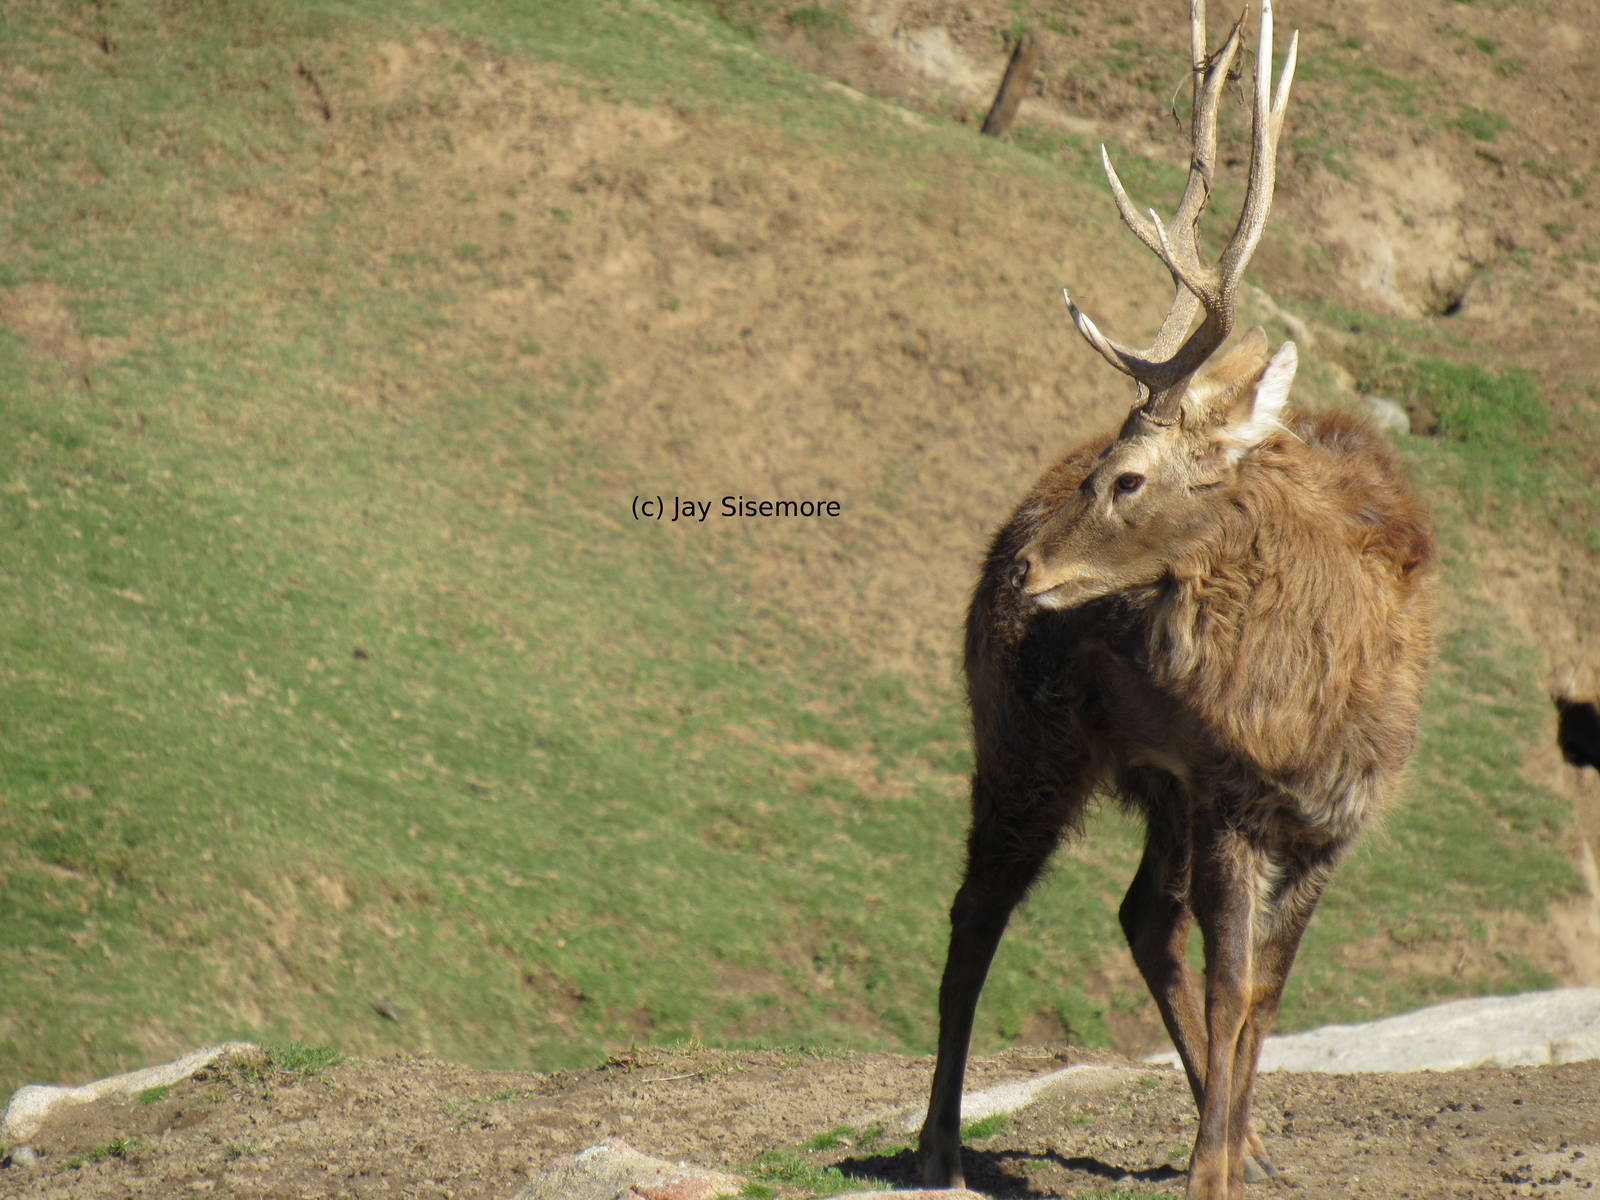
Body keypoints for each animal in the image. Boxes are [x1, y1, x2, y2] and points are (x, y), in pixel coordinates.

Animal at [916, 2, 1436, 1197]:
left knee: (1140, 913)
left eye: (1129, 479)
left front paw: (1234, 1149)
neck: (1300, 703)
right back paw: (937, 1143)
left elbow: (1267, 994)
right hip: (1028, 737)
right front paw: (1210, 1170)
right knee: (978, 907)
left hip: (1156, 779)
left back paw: (1234, 1127)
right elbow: (1232, 982)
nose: (1025, 575)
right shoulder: (1230, 793)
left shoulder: (1331, 816)